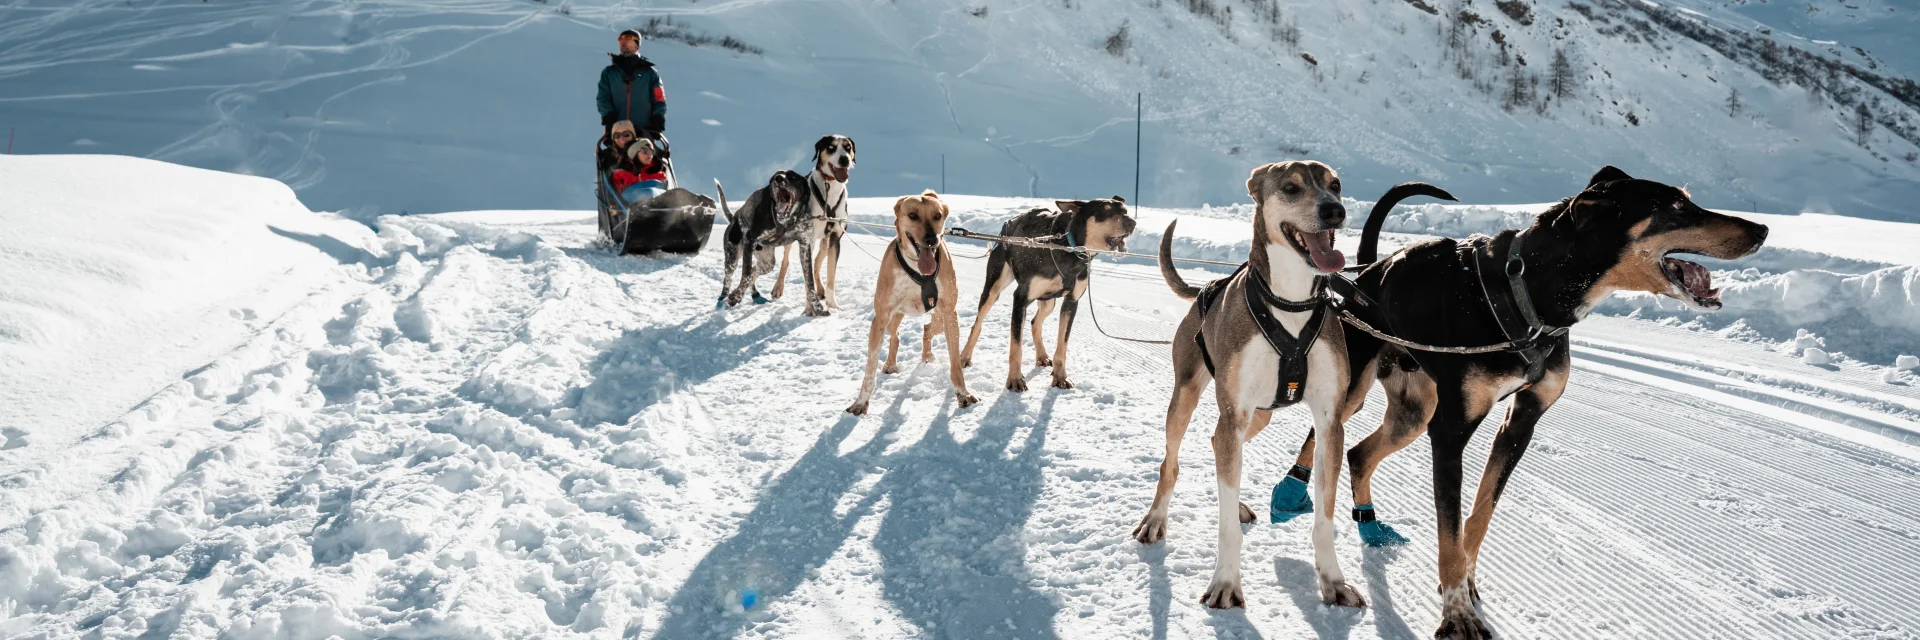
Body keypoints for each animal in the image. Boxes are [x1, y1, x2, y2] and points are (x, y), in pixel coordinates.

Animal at [714, 169, 817, 309]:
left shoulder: (805, 244)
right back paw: (723, 298)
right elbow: (746, 275)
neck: (786, 223)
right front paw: (736, 297)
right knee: (729, 278)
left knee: (754, 271)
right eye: (775, 176)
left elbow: (809, 278)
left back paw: (755, 295)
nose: (778, 178)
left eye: (792, 176)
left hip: (767, 263)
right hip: (732, 258)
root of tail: (733, 218)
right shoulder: (750, 240)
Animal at [768, 135, 860, 313]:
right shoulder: (807, 239)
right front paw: (810, 308)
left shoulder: (835, 239)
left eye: (848, 147)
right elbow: (806, 276)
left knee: (817, 262)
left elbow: (830, 275)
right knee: (786, 261)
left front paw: (833, 304)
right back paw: (778, 287)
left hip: (824, 243)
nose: (845, 159)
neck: (829, 189)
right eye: (831, 147)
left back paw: (821, 290)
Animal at [848, 189, 983, 413]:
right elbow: (870, 367)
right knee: (895, 336)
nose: (931, 239)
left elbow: (955, 362)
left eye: (937, 216)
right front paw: (861, 402)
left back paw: (927, 356)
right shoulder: (881, 317)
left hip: (941, 319)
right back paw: (890, 364)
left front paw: (963, 394)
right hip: (892, 318)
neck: (918, 269)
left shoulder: (949, 313)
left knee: (927, 329)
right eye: (912, 215)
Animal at [956, 196, 1128, 392]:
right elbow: (1016, 347)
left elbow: (1062, 345)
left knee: (1034, 322)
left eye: (1125, 211)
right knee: (978, 323)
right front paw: (1015, 379)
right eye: (1105, 212)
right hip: (993, 289)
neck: (1068, 247)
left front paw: (1060, 377)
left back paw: (1042, 356)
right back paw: (964, 357)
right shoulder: (1020, 299)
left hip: (1048, 302)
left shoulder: (1071, 302)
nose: (1132, 222)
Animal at [1274, 163, 1766, 634]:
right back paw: (1290, 491)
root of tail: (1370, 273)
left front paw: (1465, 583)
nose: (1761, 229)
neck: (1527, 293)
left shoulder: (1522, 422)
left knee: (1359, 453)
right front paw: (1457, 614)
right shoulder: (1450, 432)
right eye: (1676, 207)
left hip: (1413, 413)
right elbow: (1449, 531)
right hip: (1354, 388)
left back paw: (1371, 525)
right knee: (1324, 434)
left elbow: (1478, 515)